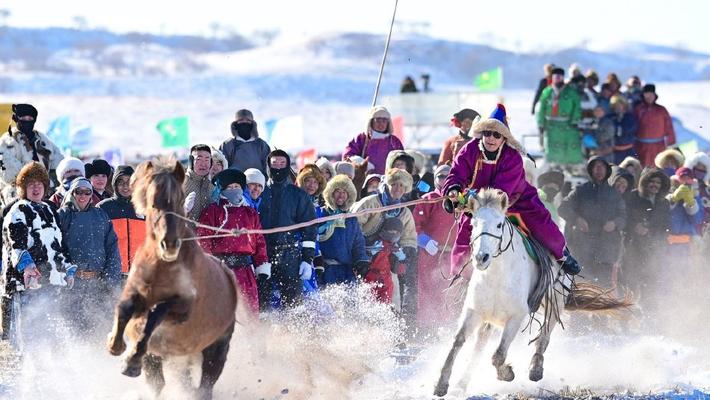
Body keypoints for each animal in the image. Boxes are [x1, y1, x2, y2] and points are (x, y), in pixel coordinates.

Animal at [105, 158, 239, 398]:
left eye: (180, 200)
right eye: (152, 203)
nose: (169, 244)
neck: (160, 267)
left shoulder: (183, 306)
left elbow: (156, 313)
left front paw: (131, 358)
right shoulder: (135, 292)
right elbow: (124, 308)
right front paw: (116, 345)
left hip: (216, 348)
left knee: (204, 386)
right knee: (159, 382)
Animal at [436, 189, 632, 396]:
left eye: (499, 224)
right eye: (473, 224)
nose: (481, 257)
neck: (497, 276)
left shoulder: (516, 317)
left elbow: (498, 355)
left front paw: (507, 373)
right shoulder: (473, 312)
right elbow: (457, 343)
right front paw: (441, 383)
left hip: (555, 304)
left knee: (544, 336)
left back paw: (535, 369)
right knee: (479, 345)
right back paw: (462, 384)